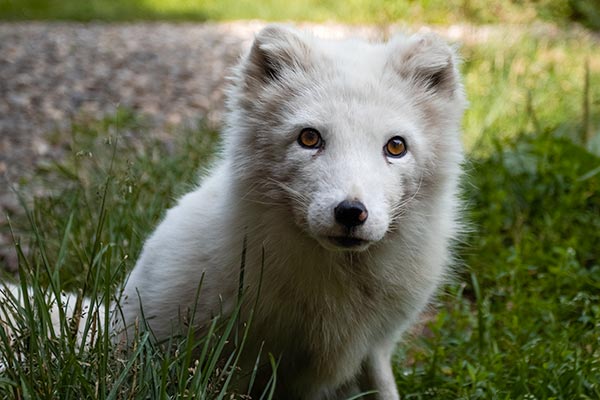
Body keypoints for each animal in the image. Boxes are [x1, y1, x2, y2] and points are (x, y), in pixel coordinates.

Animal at [1, 25, 466, 399]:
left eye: (396, 146)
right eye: (309, 138)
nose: (351, 212)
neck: (341, 287)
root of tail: (101, 323)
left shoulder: (374, 350)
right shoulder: (240, 358)